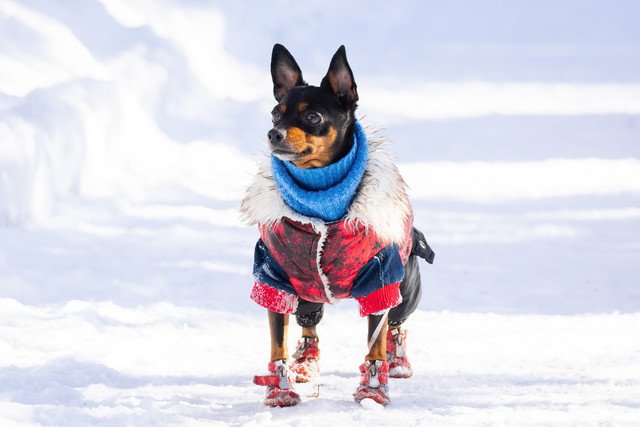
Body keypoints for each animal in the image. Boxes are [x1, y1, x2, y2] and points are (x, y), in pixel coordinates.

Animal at [241, 43, 436, 408]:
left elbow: (375, 341)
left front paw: (373, 389)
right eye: (275, 115)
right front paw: (280, 389)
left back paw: (397, 361)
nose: (273, 133)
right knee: (309, 323)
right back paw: (306, 362)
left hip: (406, 287)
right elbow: (277, 342)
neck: (321, 199)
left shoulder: (379, 280)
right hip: (307, 288)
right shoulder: (275, 281)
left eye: (313, 117)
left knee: (396, 323)